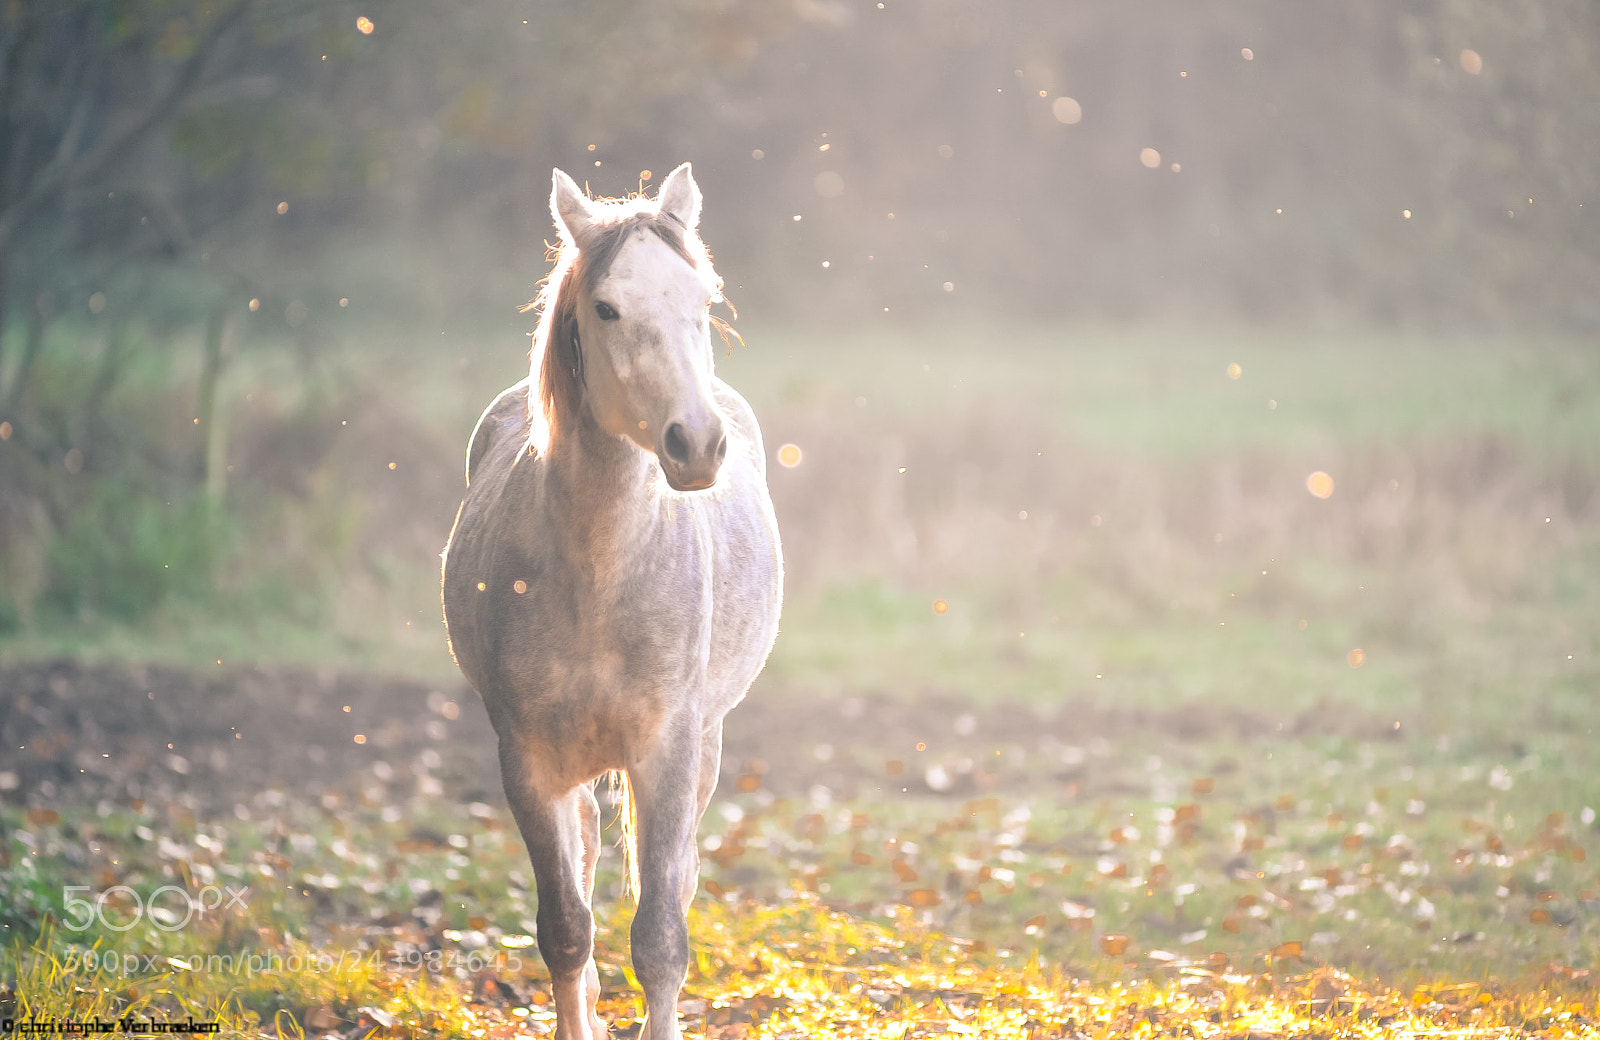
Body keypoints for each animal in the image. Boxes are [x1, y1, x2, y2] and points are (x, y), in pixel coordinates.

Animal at [441, 163, 783, 1040]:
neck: (598, 574)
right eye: (605, 308)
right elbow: (566, 929)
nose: (698, 445)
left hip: (703, 746)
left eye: (704, 301)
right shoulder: (527, 760)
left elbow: (660, 938)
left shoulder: (668, 750)